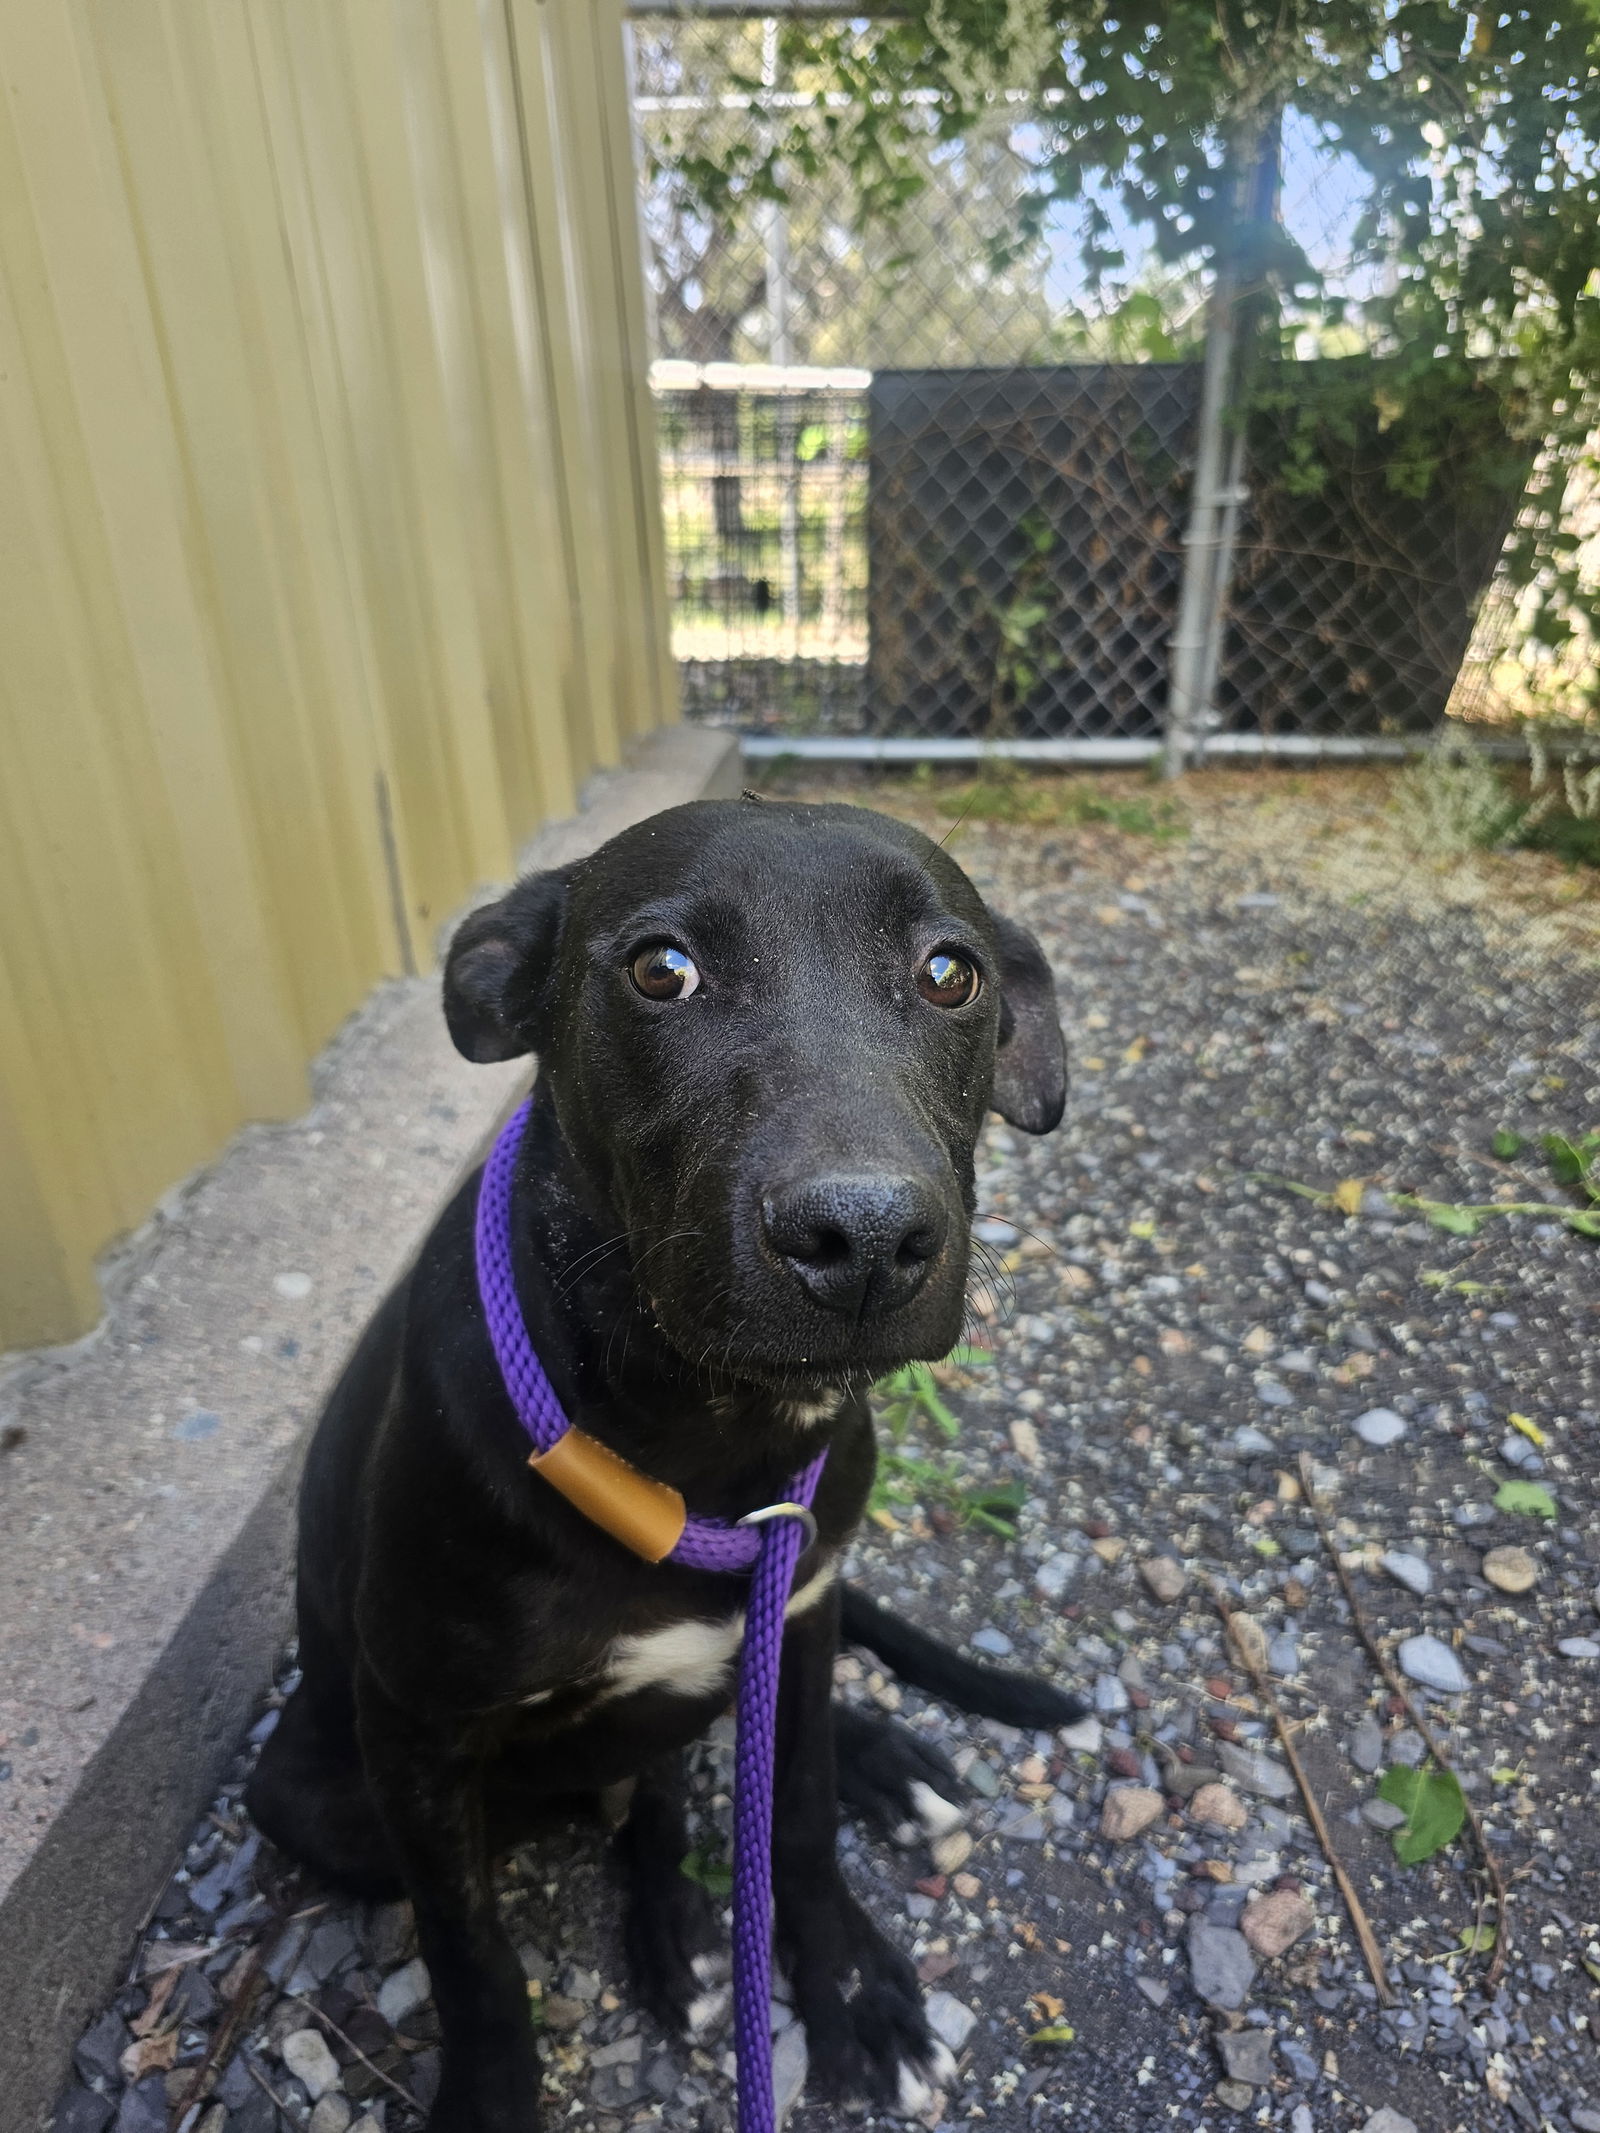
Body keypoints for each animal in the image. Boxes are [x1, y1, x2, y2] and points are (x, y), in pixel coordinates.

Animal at [250, 793, 1092, 2124]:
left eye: (949, 974)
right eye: (662, 970)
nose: (863, 1240)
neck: (708, 1446)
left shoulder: (799, 1601)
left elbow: (795, 1818)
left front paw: (842, 1979)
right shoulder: (415, 1737)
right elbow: (469, 1950)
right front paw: (493, 2092)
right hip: (312, 1797)